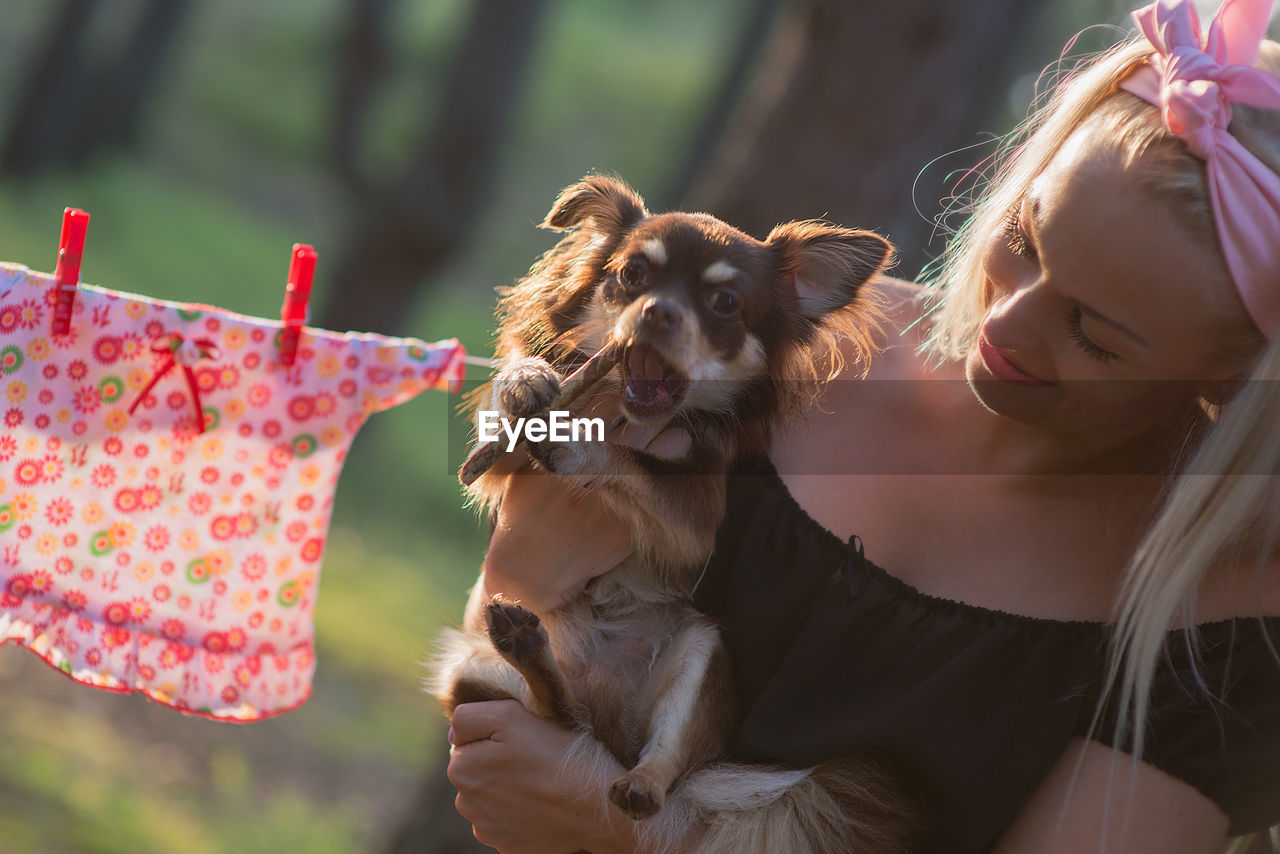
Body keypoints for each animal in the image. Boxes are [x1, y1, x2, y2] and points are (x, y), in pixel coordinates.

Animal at [435, 176, 916, 850]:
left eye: (724, 303)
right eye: (632, 275)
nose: (658, 311)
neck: (623, 408)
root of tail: (611, 733)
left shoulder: (696, 514)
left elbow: (634, 466)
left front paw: (578, 444)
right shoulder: (503, 473)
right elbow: (505, 425)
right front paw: (525, 378)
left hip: (699, 651)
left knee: (652, 763)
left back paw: (638, 780)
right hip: (473, 679)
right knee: (558, 714)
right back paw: (530, 650)